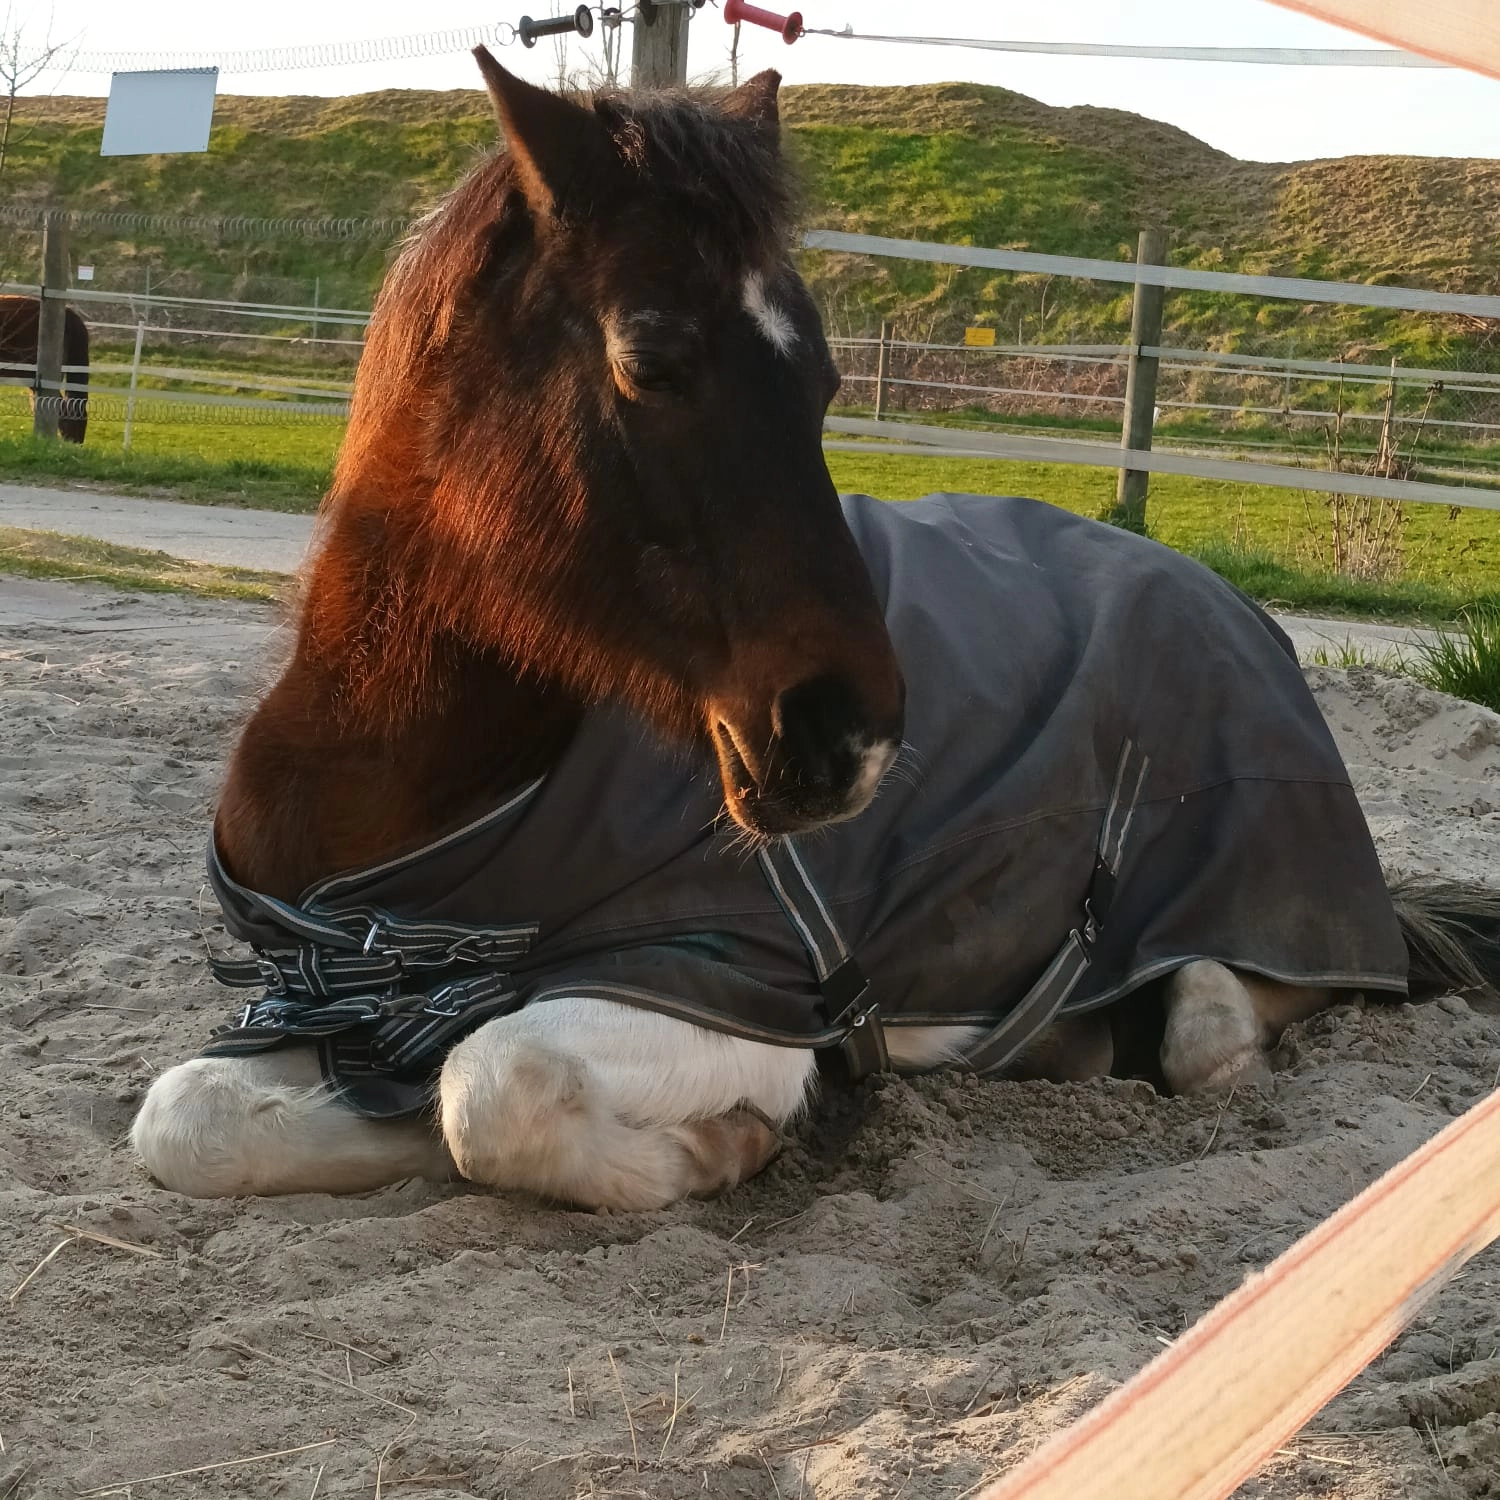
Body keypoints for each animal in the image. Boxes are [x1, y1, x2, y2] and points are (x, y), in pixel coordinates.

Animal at [130, 54, 1500, 1210]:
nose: (849, 733)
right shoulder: (333, 1007)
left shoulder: (724, 984)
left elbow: (491, 1086)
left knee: (1217, 1019)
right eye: (650, 359)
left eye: (830, 379)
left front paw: (732, 1140)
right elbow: (189, 1115)